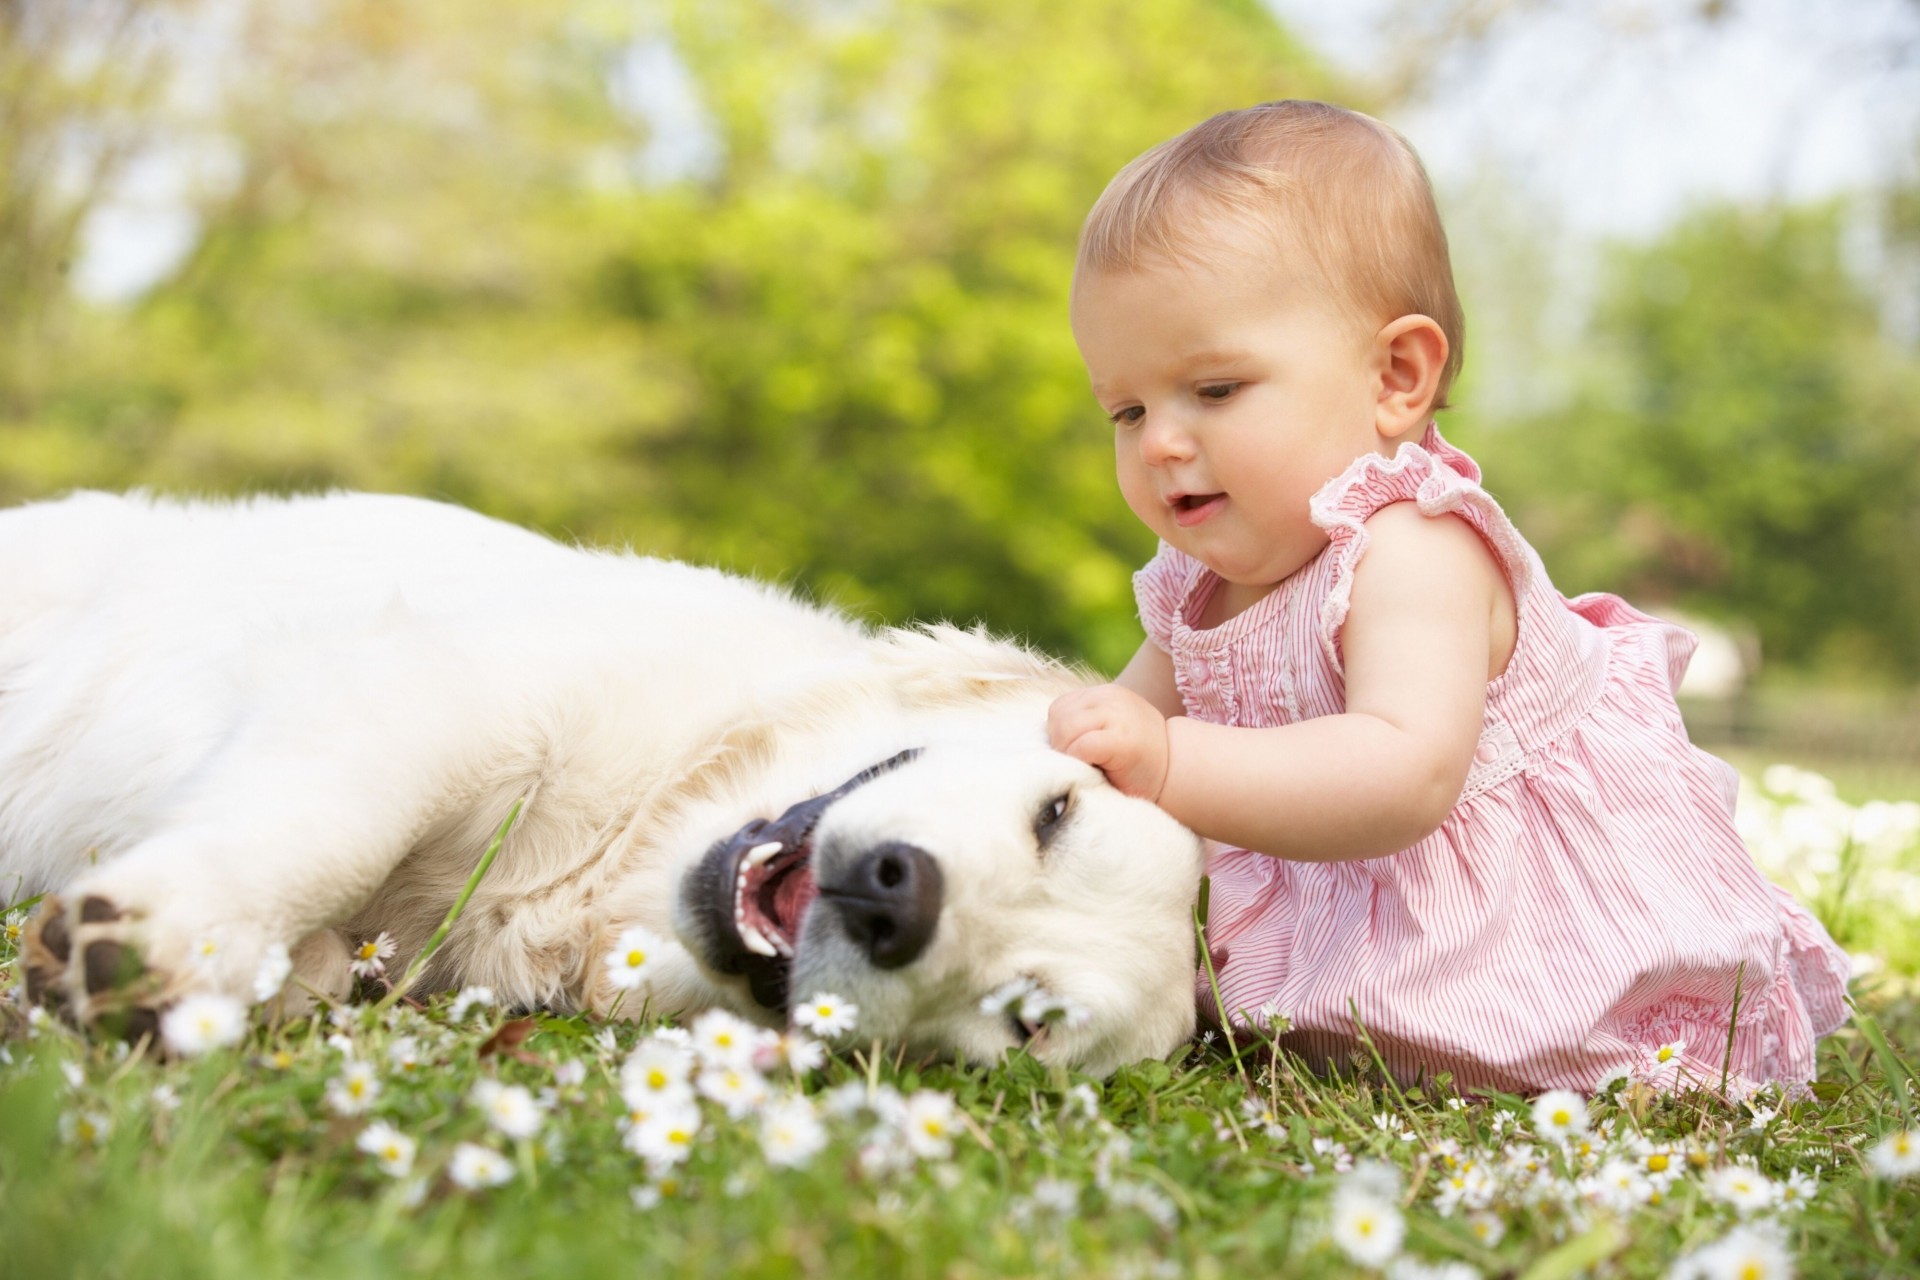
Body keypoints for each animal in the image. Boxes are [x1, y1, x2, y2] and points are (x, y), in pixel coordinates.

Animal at [0, 495, 1198, 1074]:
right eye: (1057, 813)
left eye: (1027, 1021)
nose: (897, 899)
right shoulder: (440, 690)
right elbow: (334, 829)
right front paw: (167, 937)